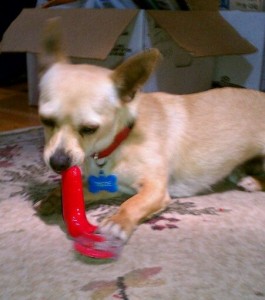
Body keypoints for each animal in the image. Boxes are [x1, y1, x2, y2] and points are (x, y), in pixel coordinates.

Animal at [36, 18, 264, 243]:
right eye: (45, 120)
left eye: (89, 129)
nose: (58, 163)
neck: (121, 140)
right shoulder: (112, 186)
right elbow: (82, 190)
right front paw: (54, 198)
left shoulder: (155, 189)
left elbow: (131, 204)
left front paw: (118, 222)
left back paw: (252, 182)